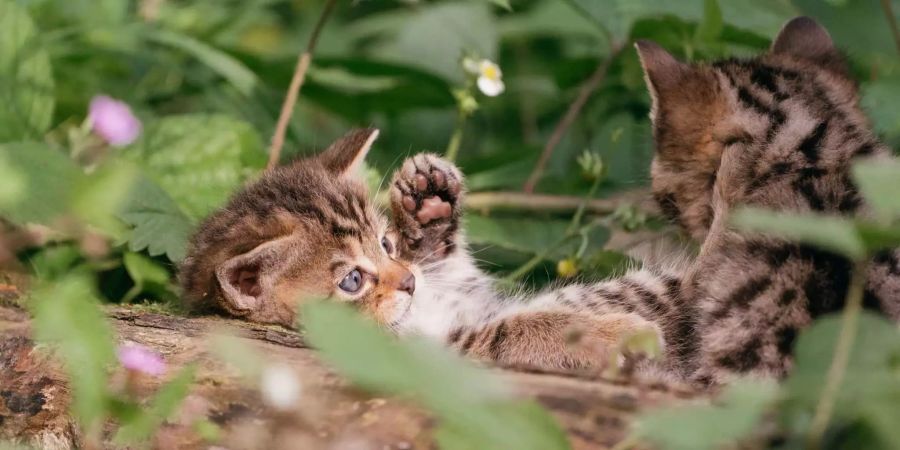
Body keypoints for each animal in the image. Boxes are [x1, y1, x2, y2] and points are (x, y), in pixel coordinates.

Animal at [185, 16, 900, 384]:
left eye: (384, 245)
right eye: (352, 281)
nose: (406, 280)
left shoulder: (460, 289)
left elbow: (457, 265)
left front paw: (427, 202)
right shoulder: (447, 346)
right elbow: (515, 330)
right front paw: (619, 337)